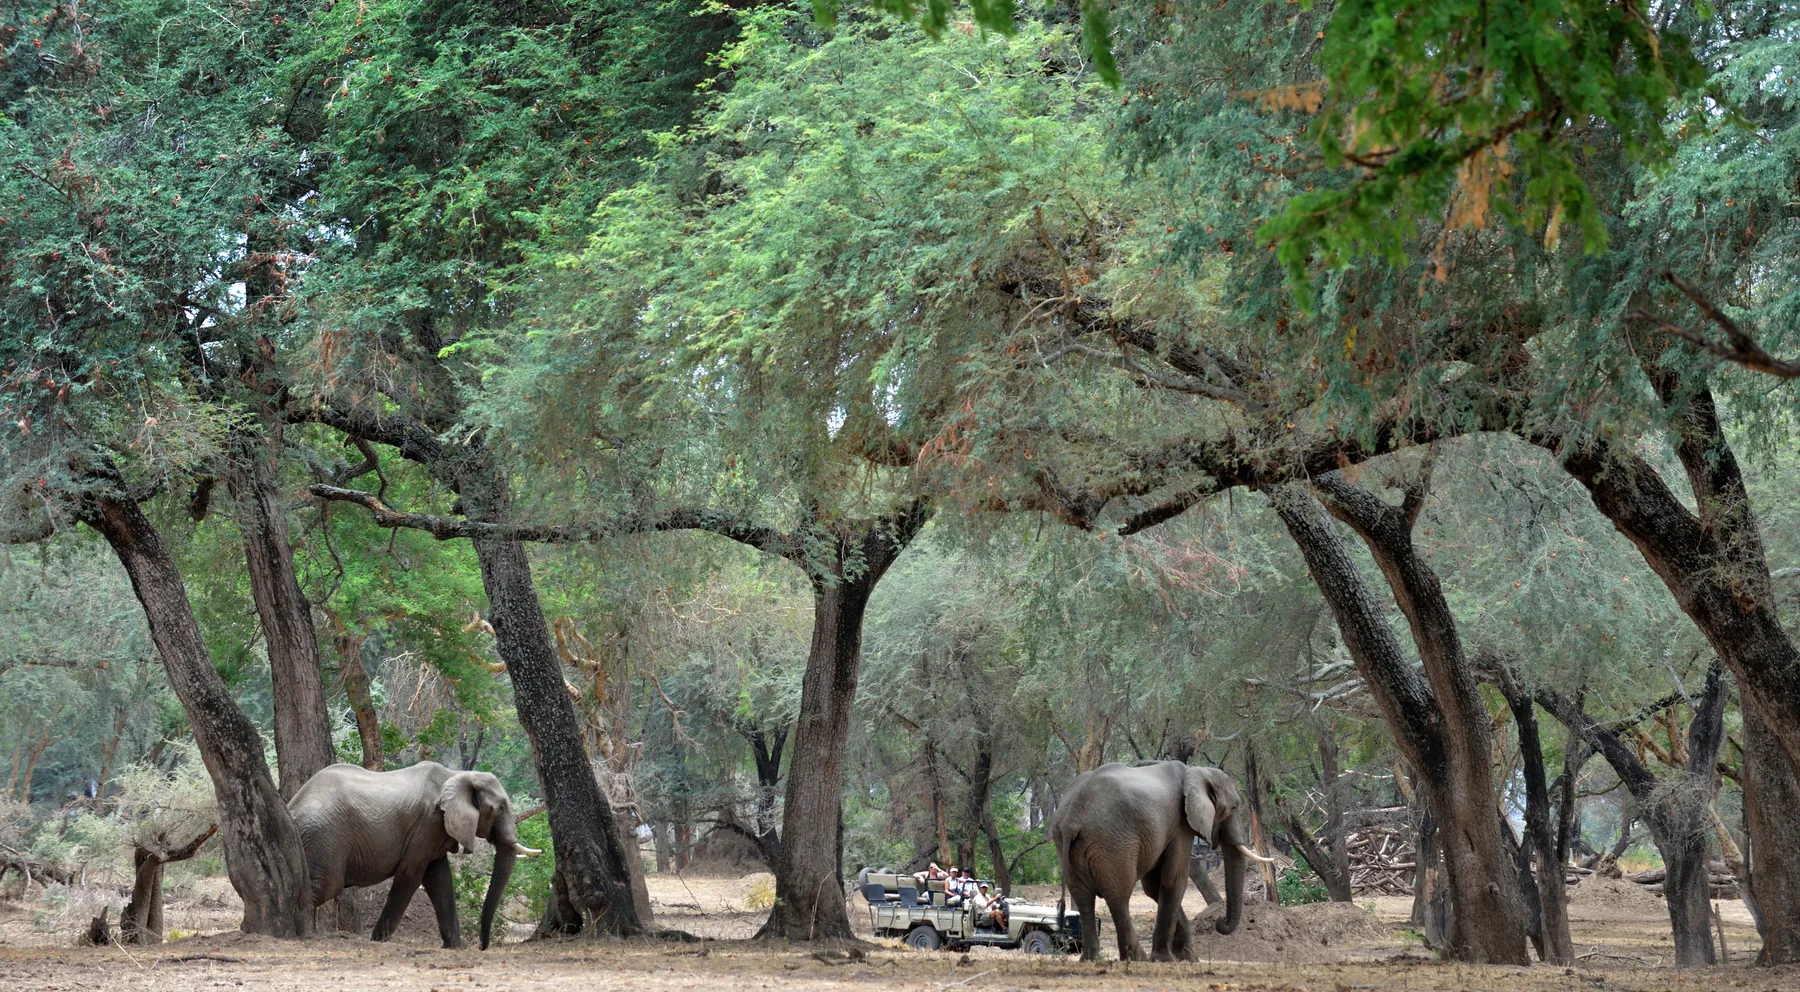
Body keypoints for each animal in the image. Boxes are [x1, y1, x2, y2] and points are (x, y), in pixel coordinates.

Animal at [288, 761, 541, 949]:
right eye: (500, 808)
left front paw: (457, 948)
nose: (482, 947)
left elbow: (439, 877)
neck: (457, 774)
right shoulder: (426, 825)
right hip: (324, 835)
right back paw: (304, 933)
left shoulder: (434, 832)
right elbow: (411, 875)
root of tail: (292, 806)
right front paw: (377, 941)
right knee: (326, 886)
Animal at [1049, 760, 1274, 961]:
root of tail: (1072, 817)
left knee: (1083, 896)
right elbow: (1173, 880)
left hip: (1068, 844)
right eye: (1234, 807)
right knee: (1118, 895)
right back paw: (1136, 958)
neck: (1196, 771)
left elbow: (1153, 887)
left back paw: (1090, 959)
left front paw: (1188, 959)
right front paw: (1165, 959)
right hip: (1113, 841)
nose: (1220, 922)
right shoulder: (1180, 824)